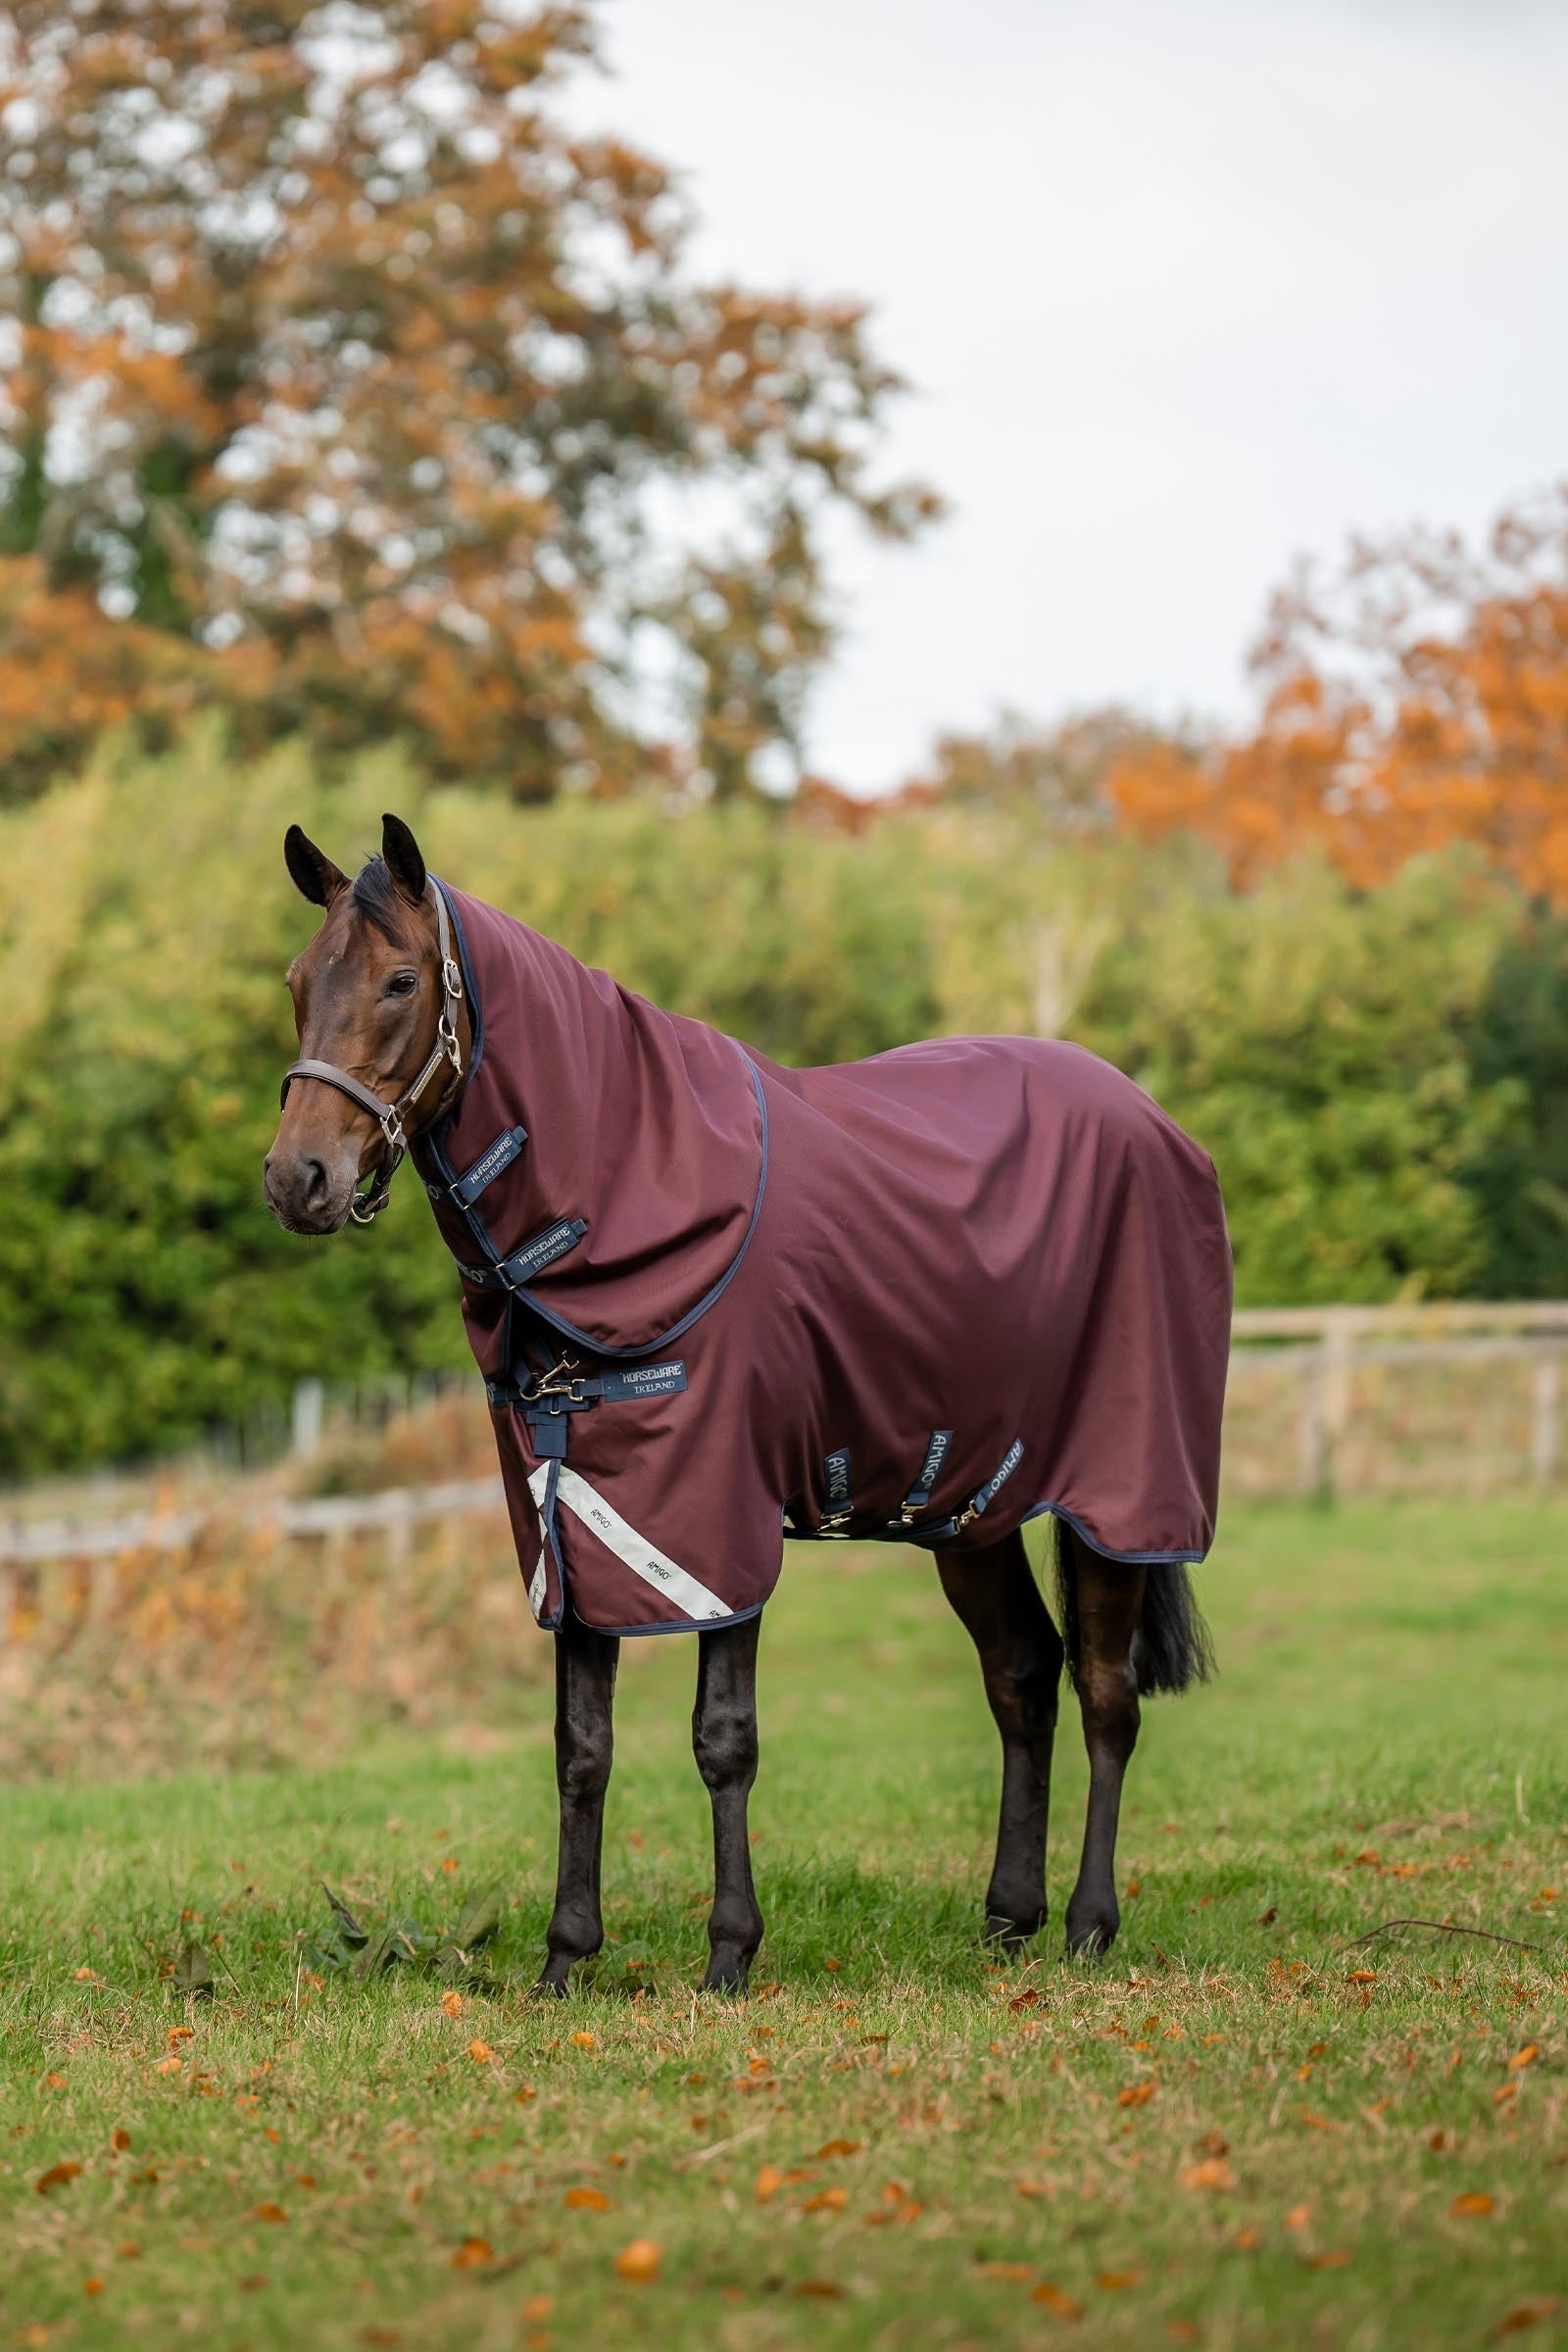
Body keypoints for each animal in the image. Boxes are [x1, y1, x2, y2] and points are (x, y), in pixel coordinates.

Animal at [263, 813, 1229, 1994]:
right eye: (300, 980)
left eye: (401, 980)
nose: (296, 1178)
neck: (630, 1193)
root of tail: (1153, 1119)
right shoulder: (571, 1519)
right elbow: (580, 1748)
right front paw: (564, 1959)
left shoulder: (715, 1521)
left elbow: (722, 1737)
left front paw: (729, 1953)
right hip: (968, 1501)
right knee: (1021, 1675)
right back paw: (1009, 1919)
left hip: (1119, 1490)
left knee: (1103, 1690)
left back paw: (1090, 1925)